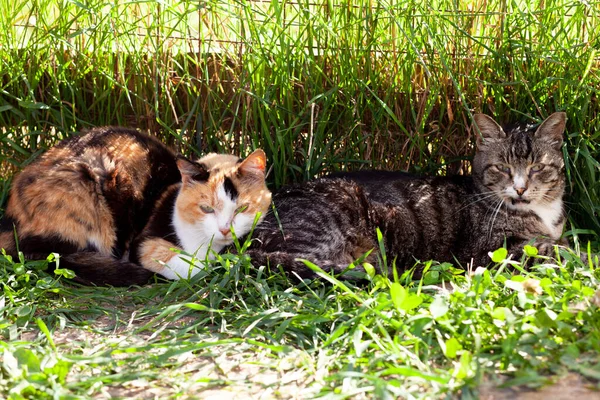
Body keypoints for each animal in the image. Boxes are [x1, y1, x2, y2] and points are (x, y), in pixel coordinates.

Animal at [245, 111, 568, 280]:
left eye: (537, 167)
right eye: (502, 168)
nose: (520, 188)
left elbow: (558, 243)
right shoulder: (487, 250)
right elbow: (554, 250)